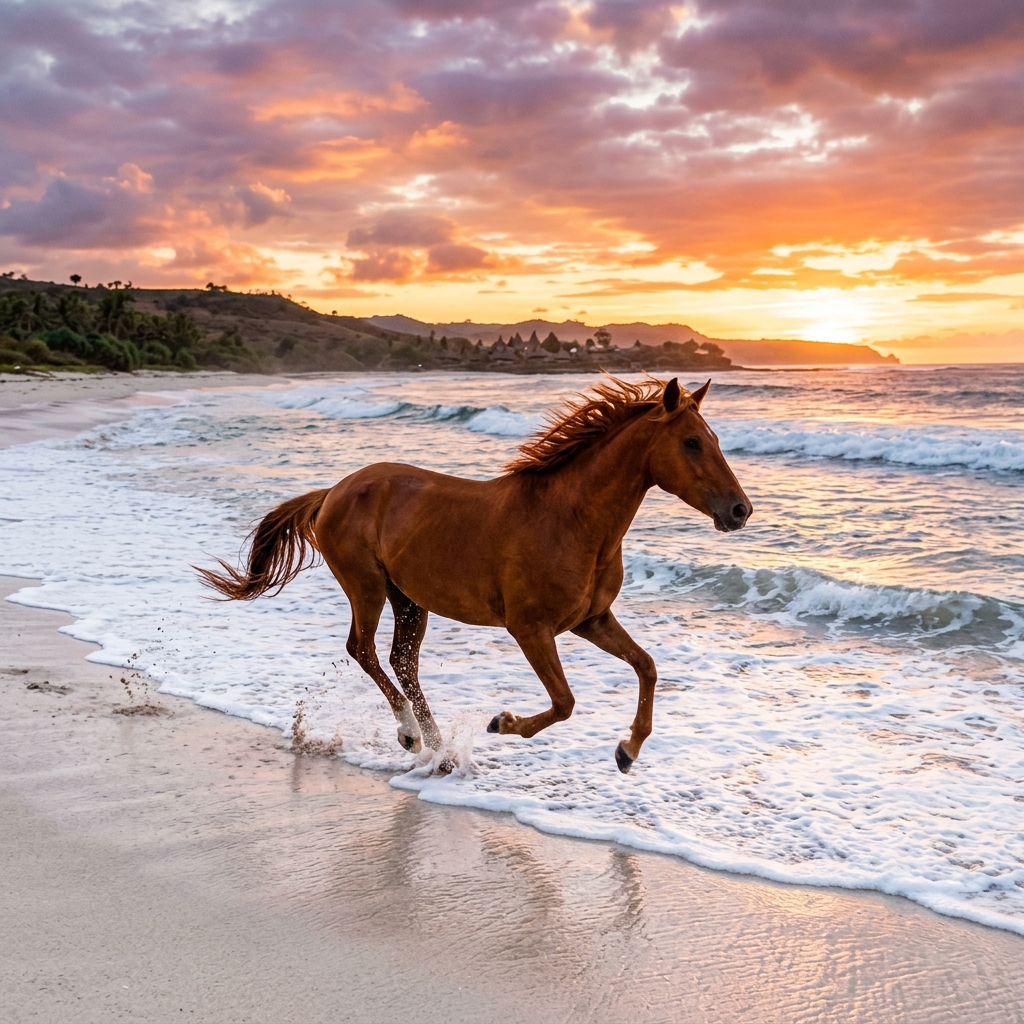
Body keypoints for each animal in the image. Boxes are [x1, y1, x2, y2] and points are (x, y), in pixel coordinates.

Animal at [197, 376, 752, 772]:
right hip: (367, 587)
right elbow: (565, 702)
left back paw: (437, 748)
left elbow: (647, 667)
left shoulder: (590, 620)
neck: (570, 519)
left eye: (714, 438)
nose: (740, 510)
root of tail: (333, 491)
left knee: (402, 661)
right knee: (364, 650)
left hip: (408, 600)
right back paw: (410, 734)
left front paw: (627, 751)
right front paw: (501, 723)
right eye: (691, 443)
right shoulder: (530, 629)